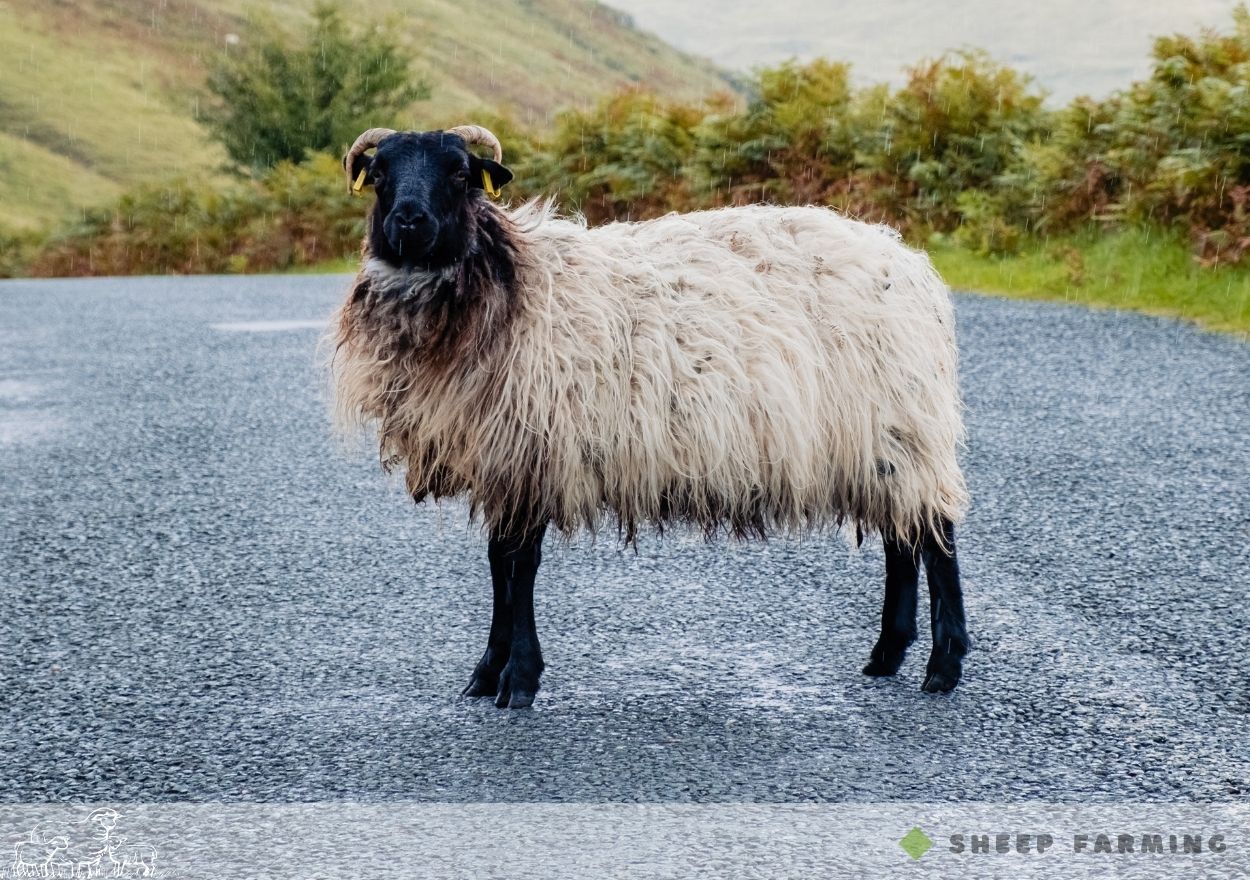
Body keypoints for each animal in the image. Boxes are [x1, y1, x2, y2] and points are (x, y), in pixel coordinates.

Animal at [327, 125, 970, 710]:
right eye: (379, 174)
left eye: (460, 173)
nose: (409, 222)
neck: (507, 281)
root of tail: (907, 260)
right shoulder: (502, 458)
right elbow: (497, 566)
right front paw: (487, 673)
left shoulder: (536, 450)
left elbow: (520, 567)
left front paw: (519, 679)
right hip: (881, 440)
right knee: (903, 537)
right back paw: (887, 654)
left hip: (903, 420)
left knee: (935, 537)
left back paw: (943, 666)